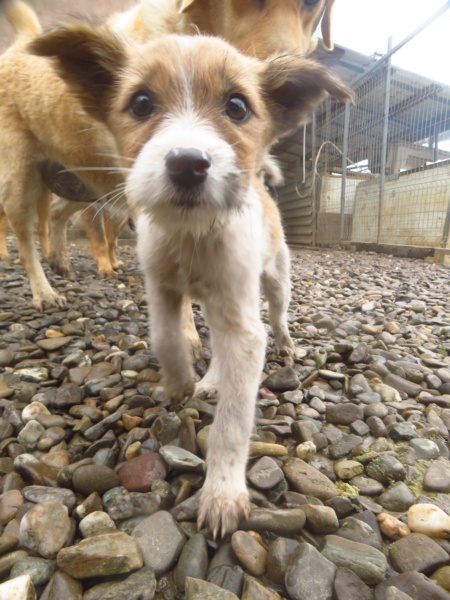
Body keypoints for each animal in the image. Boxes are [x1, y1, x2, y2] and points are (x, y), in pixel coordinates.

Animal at [0, 0, 338, 310]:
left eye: (237, 107)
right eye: (141, 104)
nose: (187, 165)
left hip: (82, 181)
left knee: (58, 213)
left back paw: (60, 261)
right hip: (21, 181)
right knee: (26, 239)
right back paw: (43, 290)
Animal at [32, 23, 356, 536]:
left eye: (237, 106)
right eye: (142, 102)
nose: (187, 163)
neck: (194, 234)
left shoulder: (244, 324)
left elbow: (232, 423)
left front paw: (222, 493)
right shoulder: (162, 287)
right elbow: (166, 336)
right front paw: (182, 383)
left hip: (274, 281)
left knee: (278, 316)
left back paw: (285, 346)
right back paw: (208, 380)